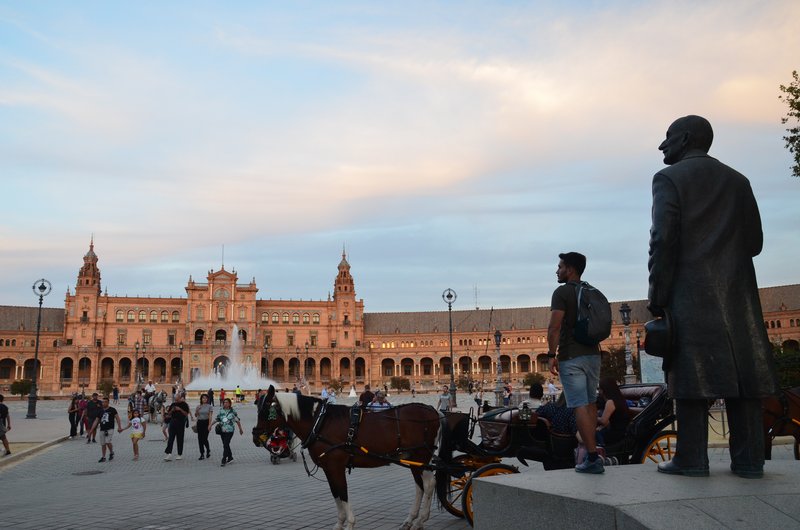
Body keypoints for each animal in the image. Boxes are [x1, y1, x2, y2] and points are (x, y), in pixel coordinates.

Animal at [258, 390, 440, 524]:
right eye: (257, 408)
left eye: (266, 411)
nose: (255, 435)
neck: (320, 422)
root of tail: (432, 410)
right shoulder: (328, 468)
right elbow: (336, 494)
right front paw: (340, 524)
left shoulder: (336, 467)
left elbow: (343, 493)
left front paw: (350, 523)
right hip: (412, 459)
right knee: (419, 486)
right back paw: (411, 520)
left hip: (422, 457)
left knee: (430, 483)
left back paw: (421, 519)